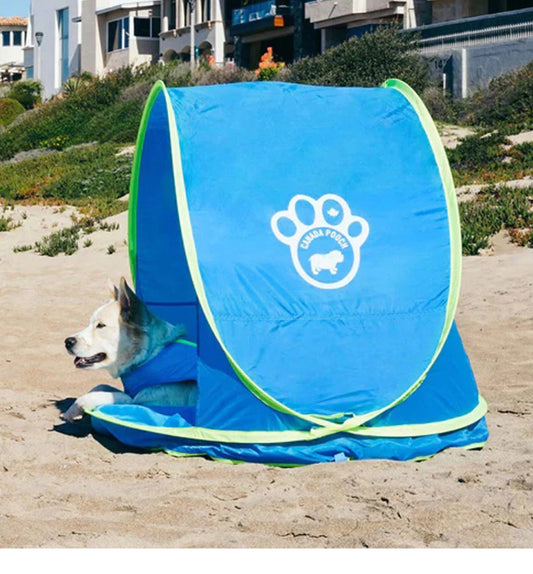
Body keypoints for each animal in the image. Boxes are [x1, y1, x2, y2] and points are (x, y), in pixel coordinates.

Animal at [62, 280, 195, 424]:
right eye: (90, 323)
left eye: (101, 325)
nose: (67, 342)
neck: (148, 355)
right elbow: (101, 386)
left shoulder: (153, 404)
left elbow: (120, 396)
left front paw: (80, 404)